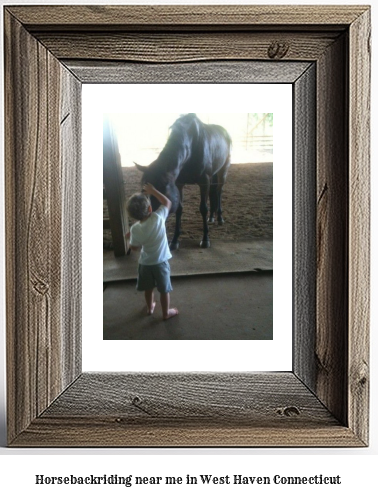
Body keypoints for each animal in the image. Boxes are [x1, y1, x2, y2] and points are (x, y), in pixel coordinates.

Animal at [135, 111, 230, 248]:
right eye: (144, 191)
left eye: (161, 192)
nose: (152, 218)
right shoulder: (179, 184)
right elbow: (179, 209)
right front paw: (175, 240)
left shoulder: (204, 182)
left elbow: (203, 208)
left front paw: (205, 239)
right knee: (212, 192)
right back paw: (212, 217)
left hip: (223, 171)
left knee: (218, 191)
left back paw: (220, 218)